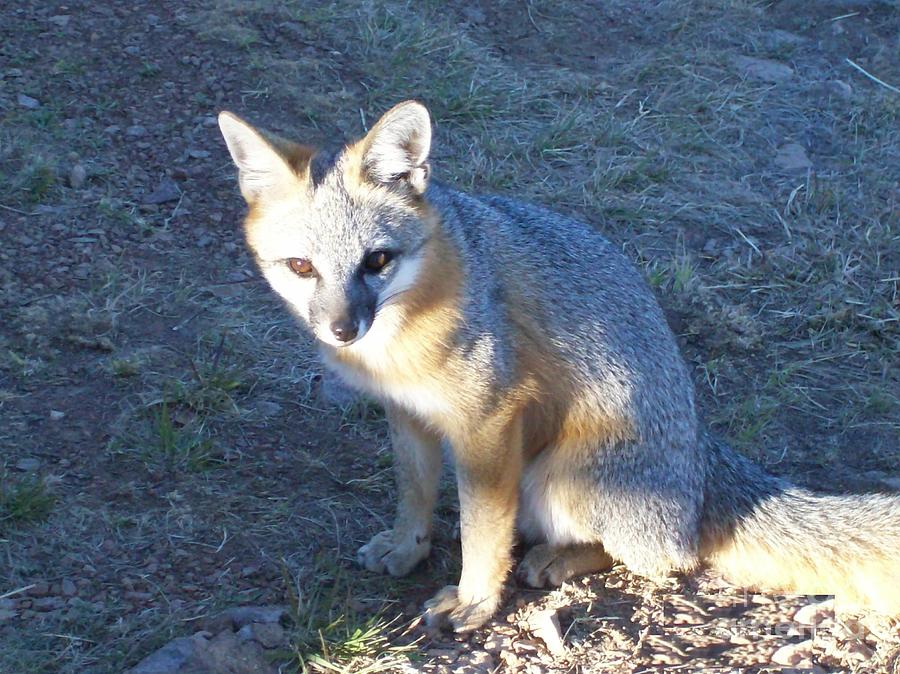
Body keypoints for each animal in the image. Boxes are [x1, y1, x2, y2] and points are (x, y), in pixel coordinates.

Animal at [220, 100, 900, 632]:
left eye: (377, 261)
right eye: (301, 267)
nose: (341, 329)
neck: (401, 334)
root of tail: (703, 461)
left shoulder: (488, 423)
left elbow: (483, 528)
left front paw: (475, 600)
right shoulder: (409, 415)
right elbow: (413, 491)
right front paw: (409, 546)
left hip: (555, 479)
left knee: (669, 558)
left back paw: (557, 559)